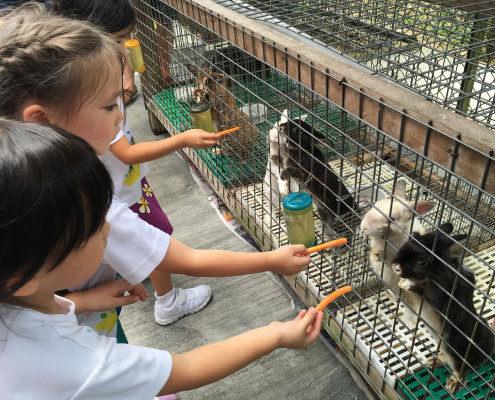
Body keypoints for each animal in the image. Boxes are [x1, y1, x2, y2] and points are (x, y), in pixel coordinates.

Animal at [360, 179, 436, 327]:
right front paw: (375, 253)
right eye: (376, 205)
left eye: (392, 219)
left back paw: (407, 322)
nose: (363, 226)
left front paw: (379, 255)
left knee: (412, 313)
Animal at [392, 223, 494, 394]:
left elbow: (421, 288)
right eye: (410, 240)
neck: (436, 268)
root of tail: (488, 349)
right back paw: (435, 360)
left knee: (462, 370)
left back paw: (453, 384)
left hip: (455, 349)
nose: (395, 266)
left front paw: (405, 284)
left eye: (422, 261)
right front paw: (401, 282)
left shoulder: (436, 294)